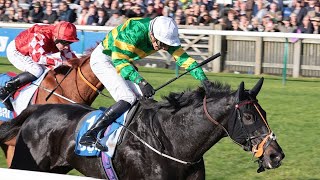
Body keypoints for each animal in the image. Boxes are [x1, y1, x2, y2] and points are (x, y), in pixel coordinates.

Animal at [0, 77, 284, 179]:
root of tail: (37, 110)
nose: (276, 155)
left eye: (265, 113)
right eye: (248, 116)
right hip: (28, 164)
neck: (172, 143)